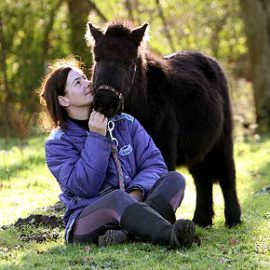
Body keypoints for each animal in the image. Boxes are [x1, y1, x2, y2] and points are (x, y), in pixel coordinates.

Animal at [86, 21, 240, 228]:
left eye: (128, 62)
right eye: (97, 58)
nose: (105, 101)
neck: (144, 101)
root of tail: (210, 61)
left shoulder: (164, 150)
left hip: (222, 140)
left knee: (226, 175)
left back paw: (233, 218)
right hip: (198, 149)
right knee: (202, 179)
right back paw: (202, 219)